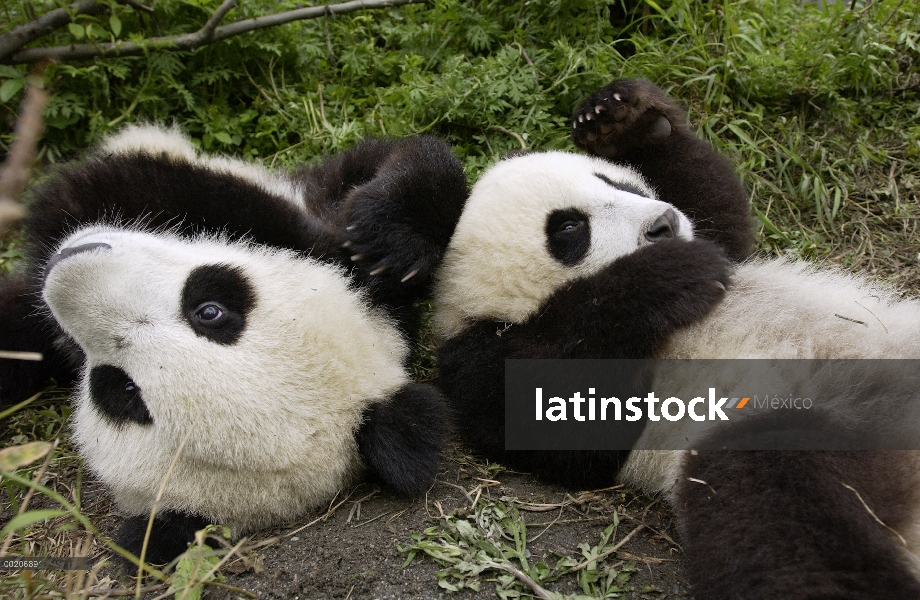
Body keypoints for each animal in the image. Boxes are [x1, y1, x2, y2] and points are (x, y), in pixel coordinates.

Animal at [434, 81, 920, 600]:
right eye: (569, 227)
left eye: (616, 183)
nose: (664, 223)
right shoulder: (478, 359)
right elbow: (562, 422)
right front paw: (664, 277)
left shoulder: (720, 241)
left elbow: (720, 214)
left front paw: (620, 118)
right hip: (792, 430)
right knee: (777, 511)